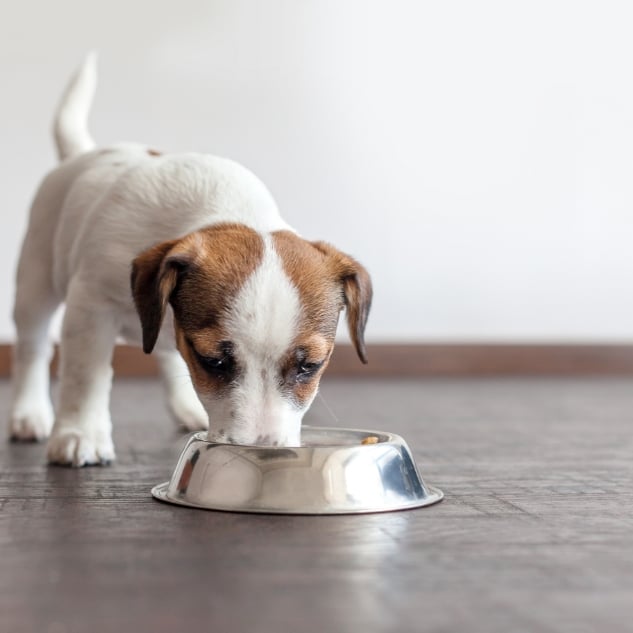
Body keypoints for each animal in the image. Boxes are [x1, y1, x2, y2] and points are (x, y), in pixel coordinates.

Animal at [8, 53, 370, 464]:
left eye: (310, 366)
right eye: (214, 362)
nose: (261, 450)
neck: (224, 207)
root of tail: (80, 154)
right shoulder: (91, 306)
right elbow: (86, 375)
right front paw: (80, 433)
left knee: (164, 351)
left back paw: (187, 406)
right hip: (35, 283)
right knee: (33, 348)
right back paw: (28, 413)